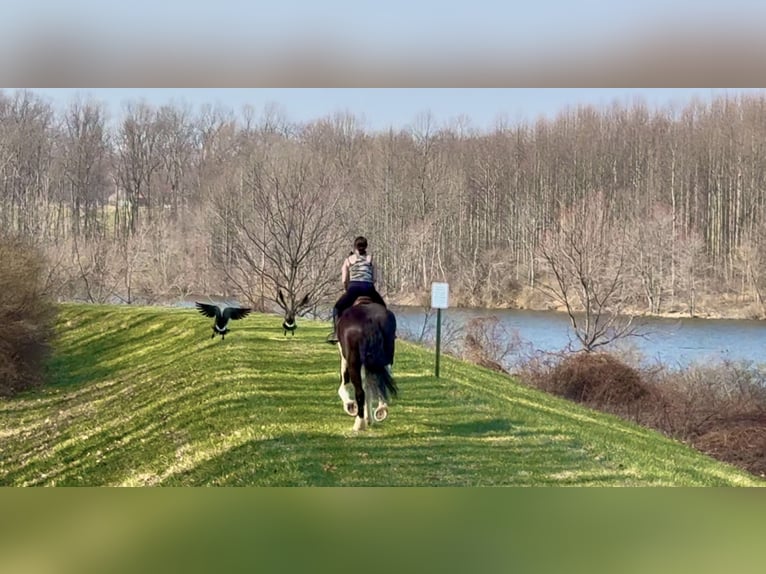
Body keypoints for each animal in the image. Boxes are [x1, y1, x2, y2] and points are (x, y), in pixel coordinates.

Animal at [335, 296, 398, 431]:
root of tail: (369, 320)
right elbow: (369, 386)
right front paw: (369, 418)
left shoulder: (345, 359)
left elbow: (345, 384)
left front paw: (350, 406)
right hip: (385, 358)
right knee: (379, 384)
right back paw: (381, 409)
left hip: (354, 362)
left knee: (360, 392)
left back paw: (359, 423)